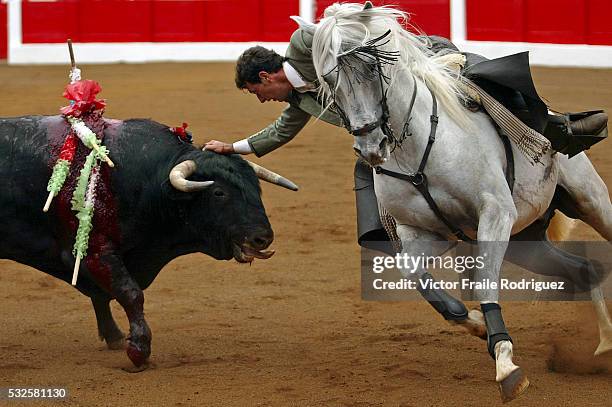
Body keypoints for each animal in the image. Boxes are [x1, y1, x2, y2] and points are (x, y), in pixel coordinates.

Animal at [0, 115, 296, 372]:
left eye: (256, 188)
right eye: (218, 192)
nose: (263, 237)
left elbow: (103, 294)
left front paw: (116, 338)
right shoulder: (92, 251)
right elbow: (130, 293)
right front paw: (138, 352)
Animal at [294, 1, 612, 404]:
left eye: (371, 67)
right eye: (328, 79)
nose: (371, 147)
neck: (415, 151)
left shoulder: (495, 212)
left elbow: (484, 281)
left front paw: (505, 364)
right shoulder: (422, 232)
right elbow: (414, 276)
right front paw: (477, 327)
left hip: (590, 200)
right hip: (526, 241)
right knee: (585, 270)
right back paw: (604, 345)